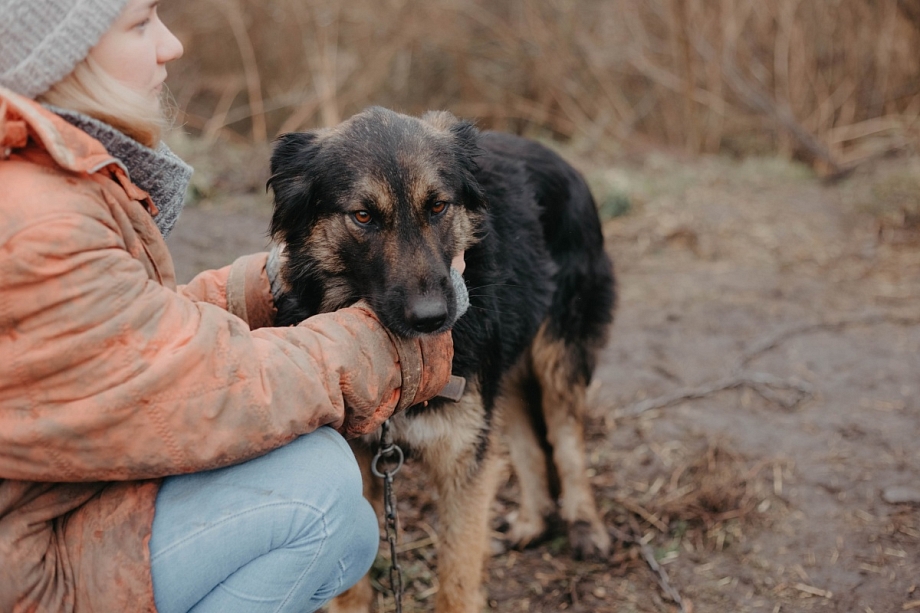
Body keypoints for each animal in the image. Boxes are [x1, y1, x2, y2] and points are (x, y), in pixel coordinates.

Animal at [268, 107, 620, 608]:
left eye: (437, 207)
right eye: (363, 216)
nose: (432, 318)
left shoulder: (460, 463)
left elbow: (456, 581)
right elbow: (352, 591)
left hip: (557, 353)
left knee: (566, 437)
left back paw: (585, 525)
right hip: (503, 373)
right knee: (529, 442)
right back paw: (531, 523)